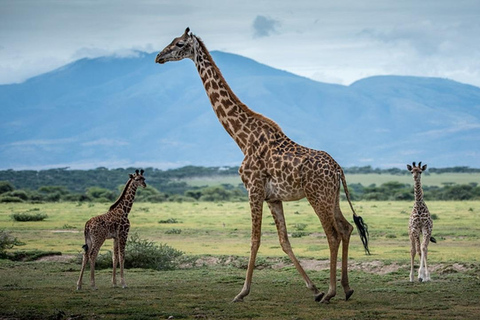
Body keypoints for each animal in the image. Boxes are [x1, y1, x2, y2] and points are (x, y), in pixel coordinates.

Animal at [156, 27, 370, 302]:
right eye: (171, 42)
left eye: (179, 44)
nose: (158, 57)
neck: (242, 138)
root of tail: (338, 169)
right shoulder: (273, 198)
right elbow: (283, 240)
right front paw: (313, 288)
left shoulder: (254, 189)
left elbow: (255, 239)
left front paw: (242, 292)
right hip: (332, 196)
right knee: (346, 228)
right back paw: (346, 288)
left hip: (317, 196)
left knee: (332, 234)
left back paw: (331, 292)